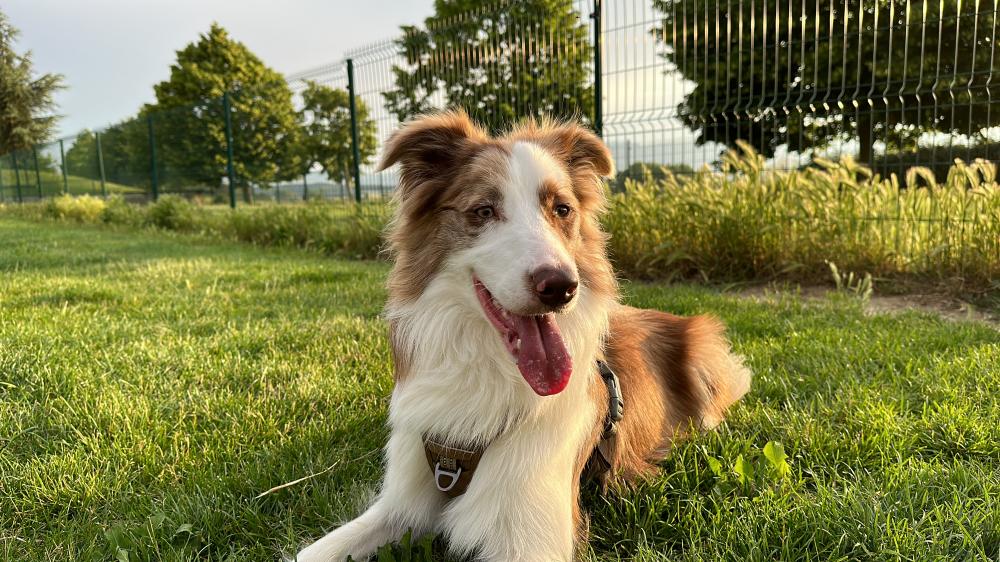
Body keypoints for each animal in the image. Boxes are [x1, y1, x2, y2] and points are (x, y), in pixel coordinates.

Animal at [296, 111, 752, 556]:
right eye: (483, 211)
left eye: (562, 209)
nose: (561, 287)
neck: (487, 368)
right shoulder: (401, 502)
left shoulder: (532, 536)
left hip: (704, 352)